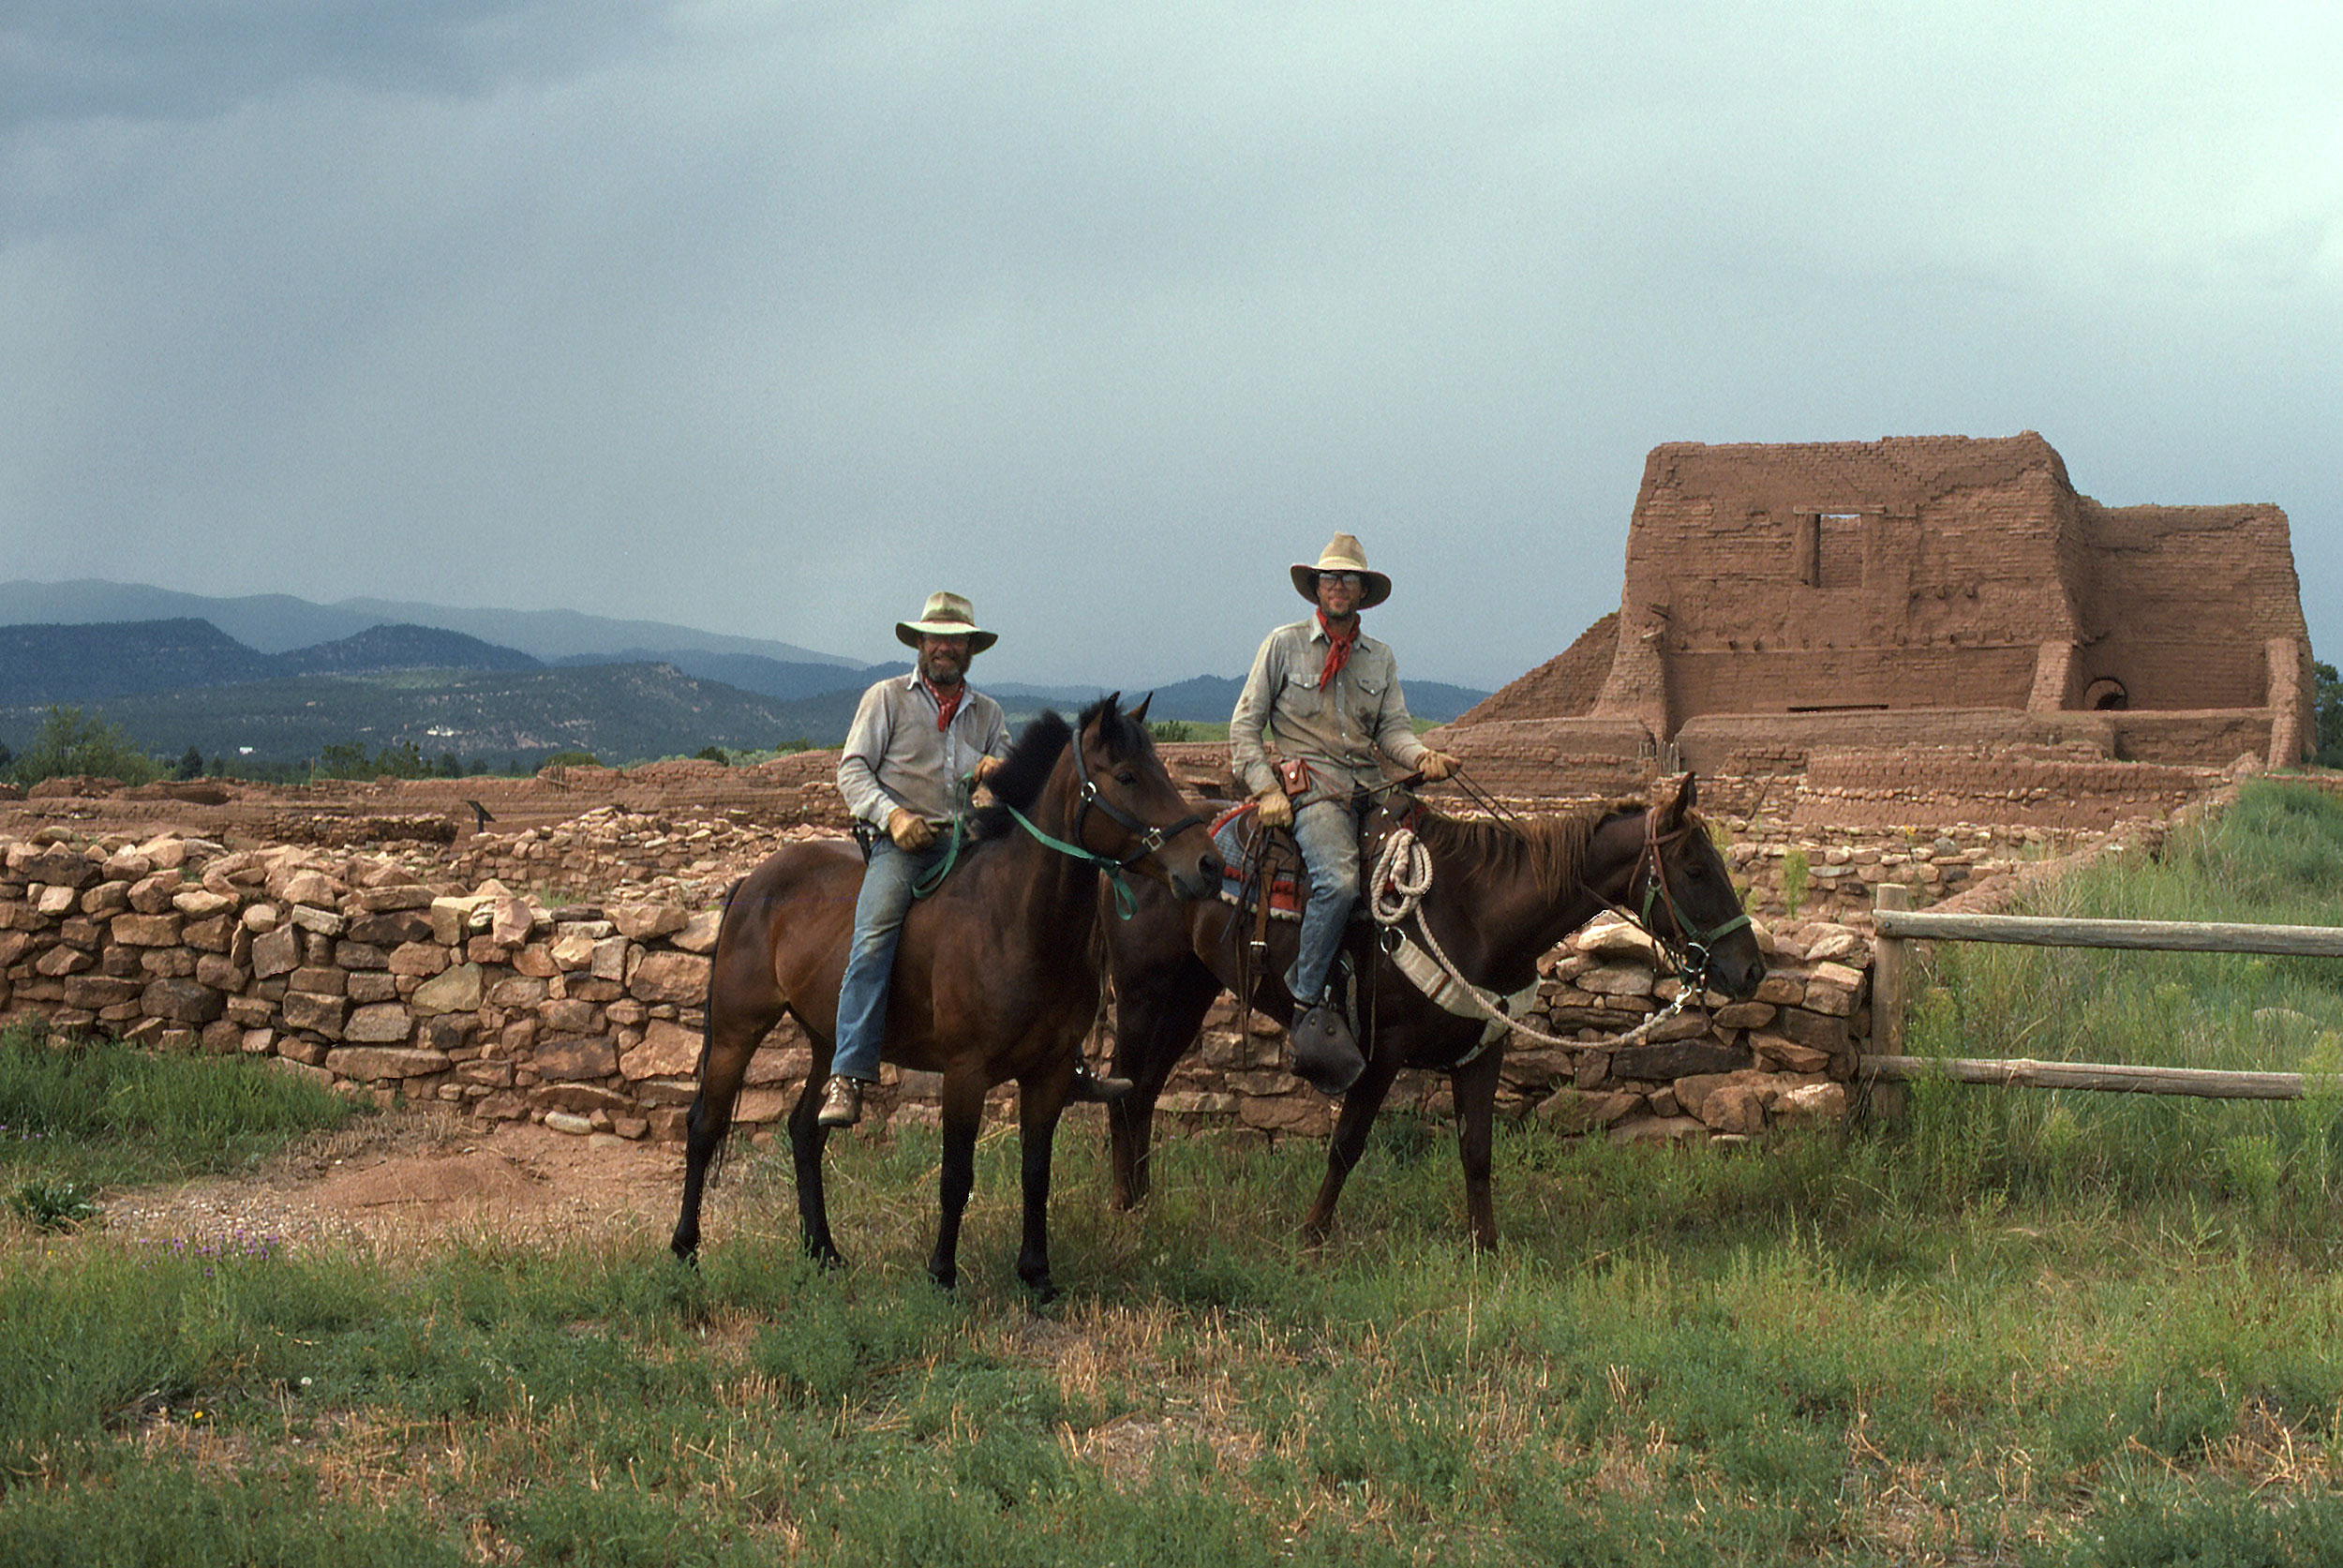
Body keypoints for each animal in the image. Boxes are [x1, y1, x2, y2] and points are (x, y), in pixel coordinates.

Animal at [675, 698, 1228, 1293]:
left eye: (1163, 770)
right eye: (1126, 776)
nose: (1209, 865)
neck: (1015, 918)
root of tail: (752, 884)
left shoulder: (1051, 1073)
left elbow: (1037, 1172)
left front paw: (1037, 1274)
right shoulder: (966, 1071)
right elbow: (957, 1173)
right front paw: (942, 1273)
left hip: (827, 1040)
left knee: (805, 1131)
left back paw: (822, 1249)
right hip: (737, 1032)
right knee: (704, 1128)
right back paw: (686, 1250)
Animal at [1106, 769, 1762, 1247]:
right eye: (1695, 869)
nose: (1751, 969)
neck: (1479, 914)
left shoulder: (1482, 1052)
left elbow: (1477, 1152)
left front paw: (1486, 1248)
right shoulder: (1379, 1053)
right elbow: (1346, 1144)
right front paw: (1313, 1235)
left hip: (1186, 996)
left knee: (1144, 1093)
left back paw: (1142, 1205)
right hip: (1142, 995)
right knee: (1124, 1089)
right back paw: (1122, 1207)